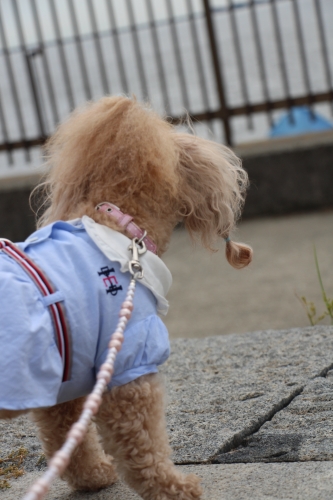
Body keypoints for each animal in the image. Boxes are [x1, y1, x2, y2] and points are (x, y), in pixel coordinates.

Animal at [0, 95, 249, 498]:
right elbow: (142, 442)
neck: (119, 225)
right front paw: (174, 488)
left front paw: (93, 476)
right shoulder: (127, 362)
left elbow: (67, 437)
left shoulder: (66, 375)